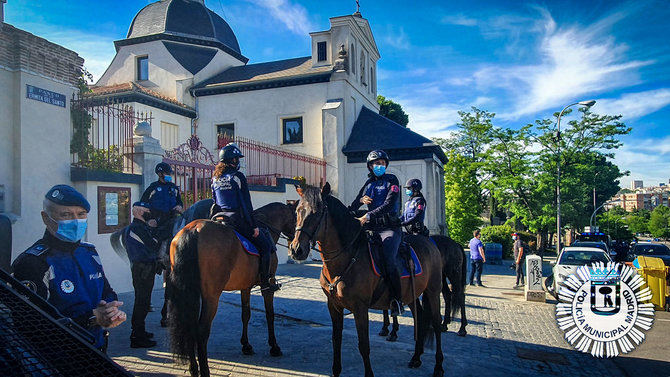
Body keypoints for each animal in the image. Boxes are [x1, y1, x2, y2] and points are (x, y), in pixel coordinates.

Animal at [167, 201, 296, 376]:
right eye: (296, 217)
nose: (296, 247)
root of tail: (192, 230)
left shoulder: (245, 286)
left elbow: (245, 314)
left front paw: (246, 345)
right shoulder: (267, 286)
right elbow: (270, 315)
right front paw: (274, 347)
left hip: (191, 294)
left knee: (190, 325)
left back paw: (193, 369)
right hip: (211, 296)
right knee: (202, 330)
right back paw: (204, 370)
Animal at [288, 185, 446, 376]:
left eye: (317, 212)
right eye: (297, 211)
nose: (296, 249)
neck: (346, 258)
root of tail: (429, 242)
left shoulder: (360, 308)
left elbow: (364, 345)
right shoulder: (334, 306)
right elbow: (336, 340)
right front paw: (336, 370)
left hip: (433, 290)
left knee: (436, 324)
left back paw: (438, 366)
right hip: (412, 296)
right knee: (420, 318)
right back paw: (416, 357)